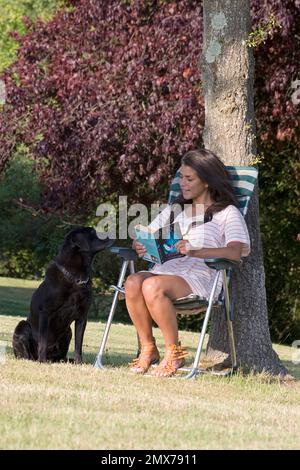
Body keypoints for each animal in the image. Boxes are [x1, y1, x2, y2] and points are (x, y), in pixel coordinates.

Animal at [12, 228, 113, 364]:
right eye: (93, 232)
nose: (113, 233)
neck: (76, 277)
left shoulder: (82, 316)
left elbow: (78, 344)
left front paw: (79, 363)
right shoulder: (45, 312)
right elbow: (43, 341)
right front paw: (42, 360)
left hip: (68, 332)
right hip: (22, 326)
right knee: (27, 353)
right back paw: (35, 359)